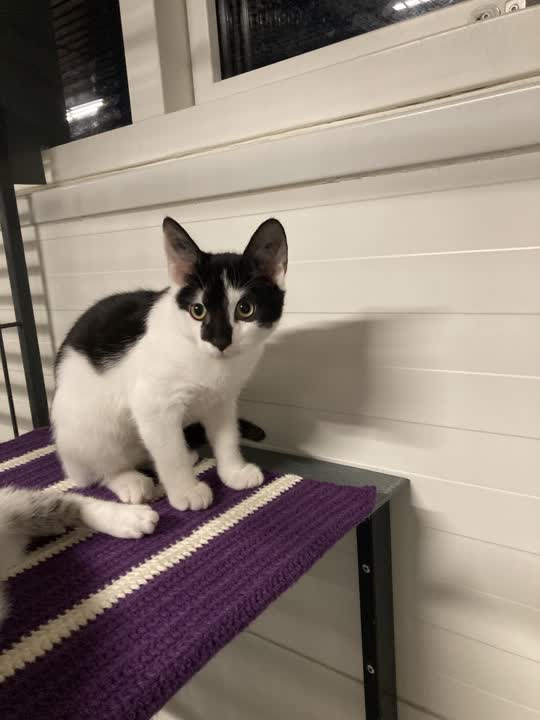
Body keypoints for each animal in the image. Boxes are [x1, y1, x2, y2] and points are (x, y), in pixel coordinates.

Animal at [52, 216, 287, 512]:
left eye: (245, 309)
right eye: (198, 310)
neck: (209, 363)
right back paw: (129, 480)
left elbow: (227, 435)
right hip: (87, 426)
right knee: (100, 468)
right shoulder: (154, 404)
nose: (219, 341)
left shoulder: (223, 398)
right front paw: (186, 491)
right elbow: (169, 452)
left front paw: (233, 471)